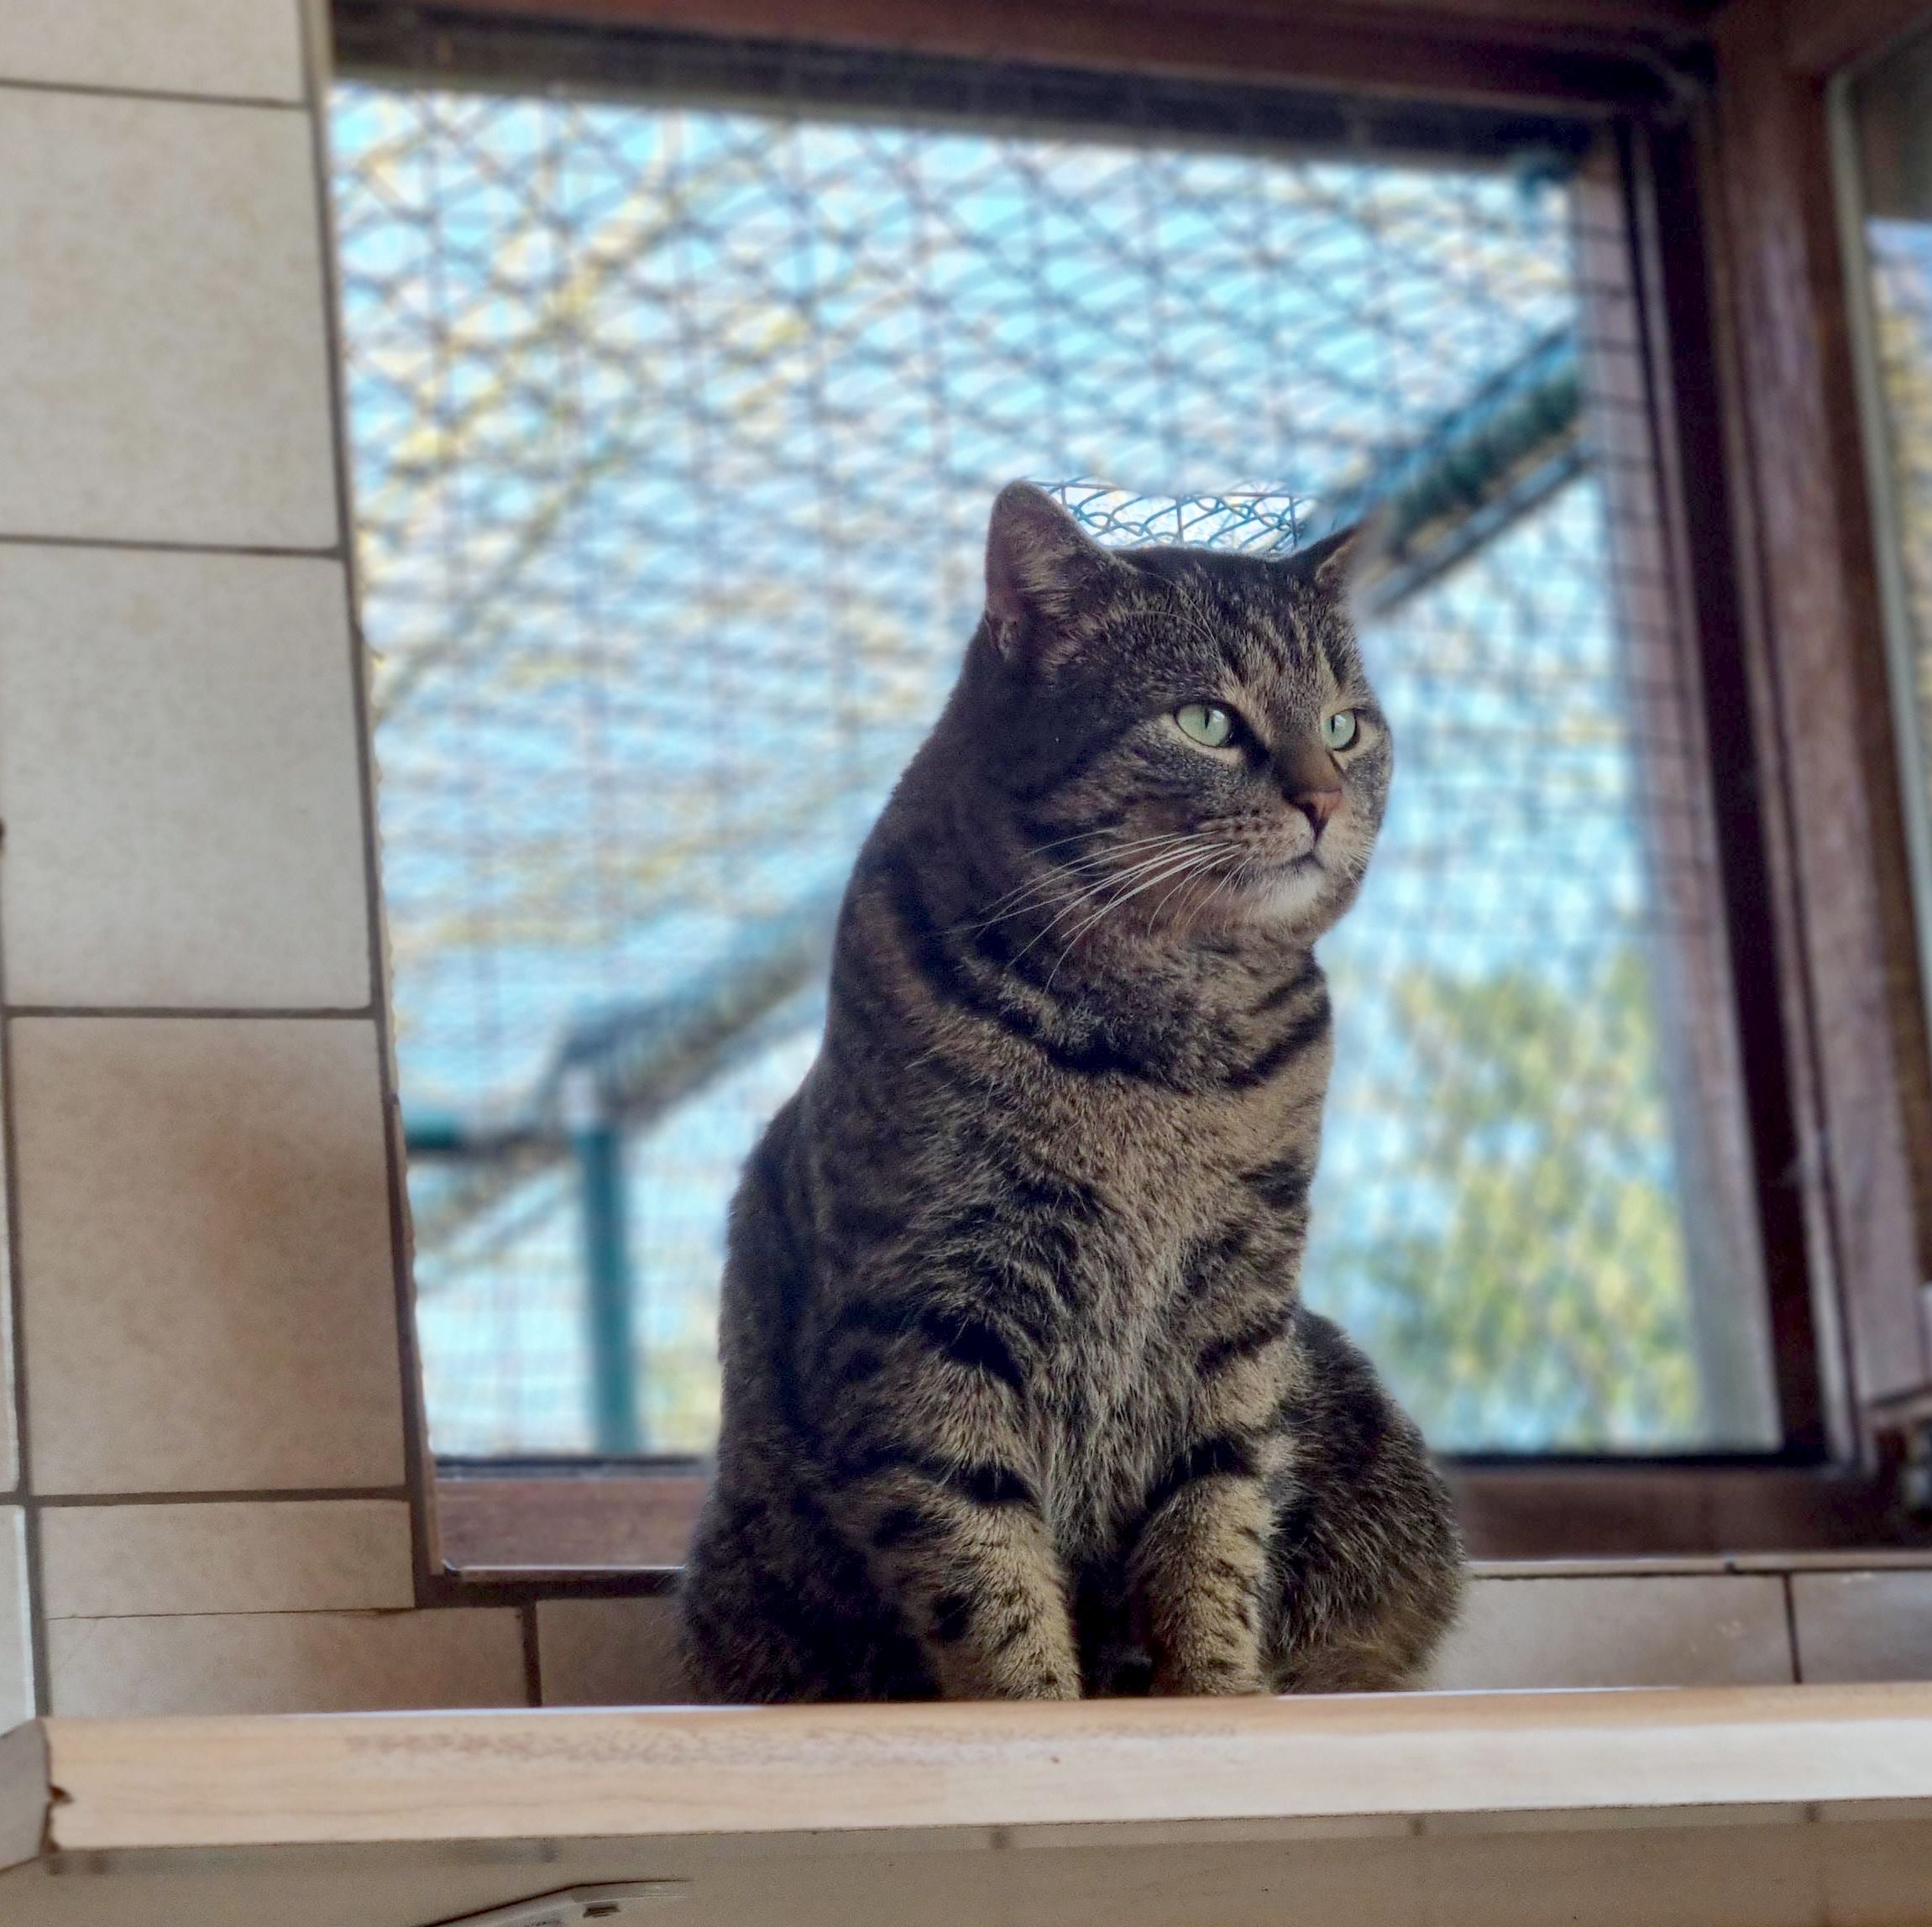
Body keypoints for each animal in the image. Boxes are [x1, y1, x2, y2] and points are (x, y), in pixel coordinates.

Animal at [679, 482, 1463, 1701]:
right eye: (1206, 721)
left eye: (1345, 724)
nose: (1325, 798)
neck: (1164, 1059)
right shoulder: (929, 1312)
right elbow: (977, 1554)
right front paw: (1036, 1702)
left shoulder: (1241, 1308)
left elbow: (1216, 1519)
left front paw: (1218, 1690)